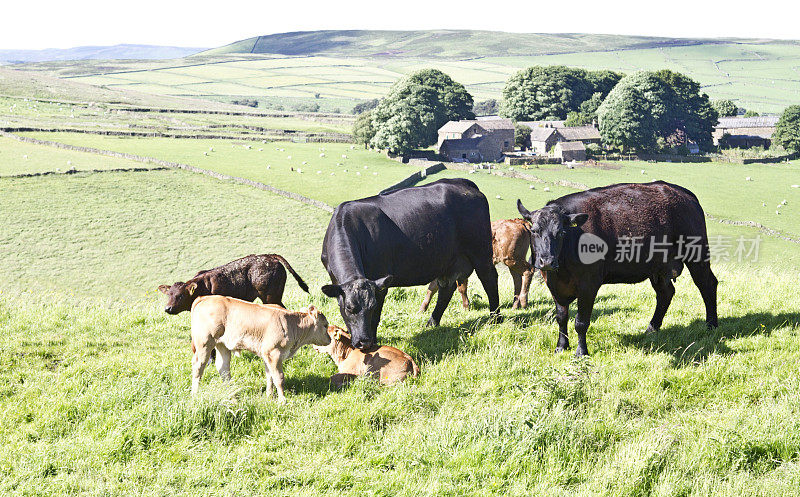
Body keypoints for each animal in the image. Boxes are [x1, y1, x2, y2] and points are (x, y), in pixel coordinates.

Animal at [158, 252, 308, 314]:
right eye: (168, 295)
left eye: (181, 295)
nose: (167, 308)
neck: (203, 287)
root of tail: (270, 256)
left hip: (270, 296)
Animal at [189, 294, 330, 400]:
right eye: (325, 325)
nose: (330, 339)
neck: (292, 324)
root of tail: (205, 297)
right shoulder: (274, 353)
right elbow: (278, 377)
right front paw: (282, 400)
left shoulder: (266, 354)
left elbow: (270, 375)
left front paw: (269, 395)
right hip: (205, 343)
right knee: (198, 366)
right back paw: (195, 394)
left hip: (222, 344)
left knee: (223, 368)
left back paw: (232, 395)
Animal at [320, 178, 500, 348]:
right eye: (349, 308)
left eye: (371, 306)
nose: (363, 342)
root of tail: (462, 183)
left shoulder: (380, 283)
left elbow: (375, 319)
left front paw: (374, 343)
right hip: (448, 261)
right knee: (446, 289)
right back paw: (432, 323)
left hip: (480, 250)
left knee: (489, 278)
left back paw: (495, 318)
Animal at [520, 182, 720, 356]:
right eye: (534, 231)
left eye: (561, 232)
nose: (547, 261)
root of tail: (683, 192)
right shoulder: (554, 285)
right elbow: (561, 318)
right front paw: (561, 347)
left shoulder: (589, 284)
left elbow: (581, 322)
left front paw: (581, 352)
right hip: (658, 266)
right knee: (666, 293)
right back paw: (652, 328)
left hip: (697, 254)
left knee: (707, 284)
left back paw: (711, 324)